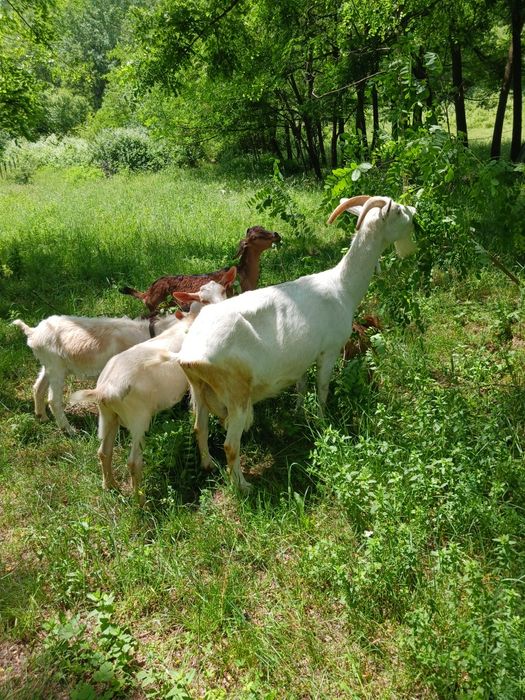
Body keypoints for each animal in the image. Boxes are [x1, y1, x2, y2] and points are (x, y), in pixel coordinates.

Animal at [12, 278, 233, 435]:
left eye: (224, 291)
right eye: (203, 300)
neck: (155, 332)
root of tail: (32, 332)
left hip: (48, 364)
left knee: (38, 387)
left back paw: (41, 416)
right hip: (56, 367)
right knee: (53, 400)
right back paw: (69, 430)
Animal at [69, 284, 228, 503]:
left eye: (223, 291)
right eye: (204, 300)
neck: (189, 322)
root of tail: (104, 389)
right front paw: (208, 461)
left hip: (108, 415)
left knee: (103, 452)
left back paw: (110, 486)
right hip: (138, 418)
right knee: (133, 462)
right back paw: (140, 501)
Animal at [177, 195, 417, 492]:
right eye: (398, 211)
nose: (415, 212)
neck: (342, 287)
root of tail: (190, 355)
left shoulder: (303, 355)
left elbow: (301, 385)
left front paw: (300, 413)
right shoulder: (329, 349)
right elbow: (323, 388)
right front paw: (323, 422)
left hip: (198, 389)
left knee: (200, 428)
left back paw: (208, 465)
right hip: (236, 393)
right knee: (231, 444)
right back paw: (243, 486)